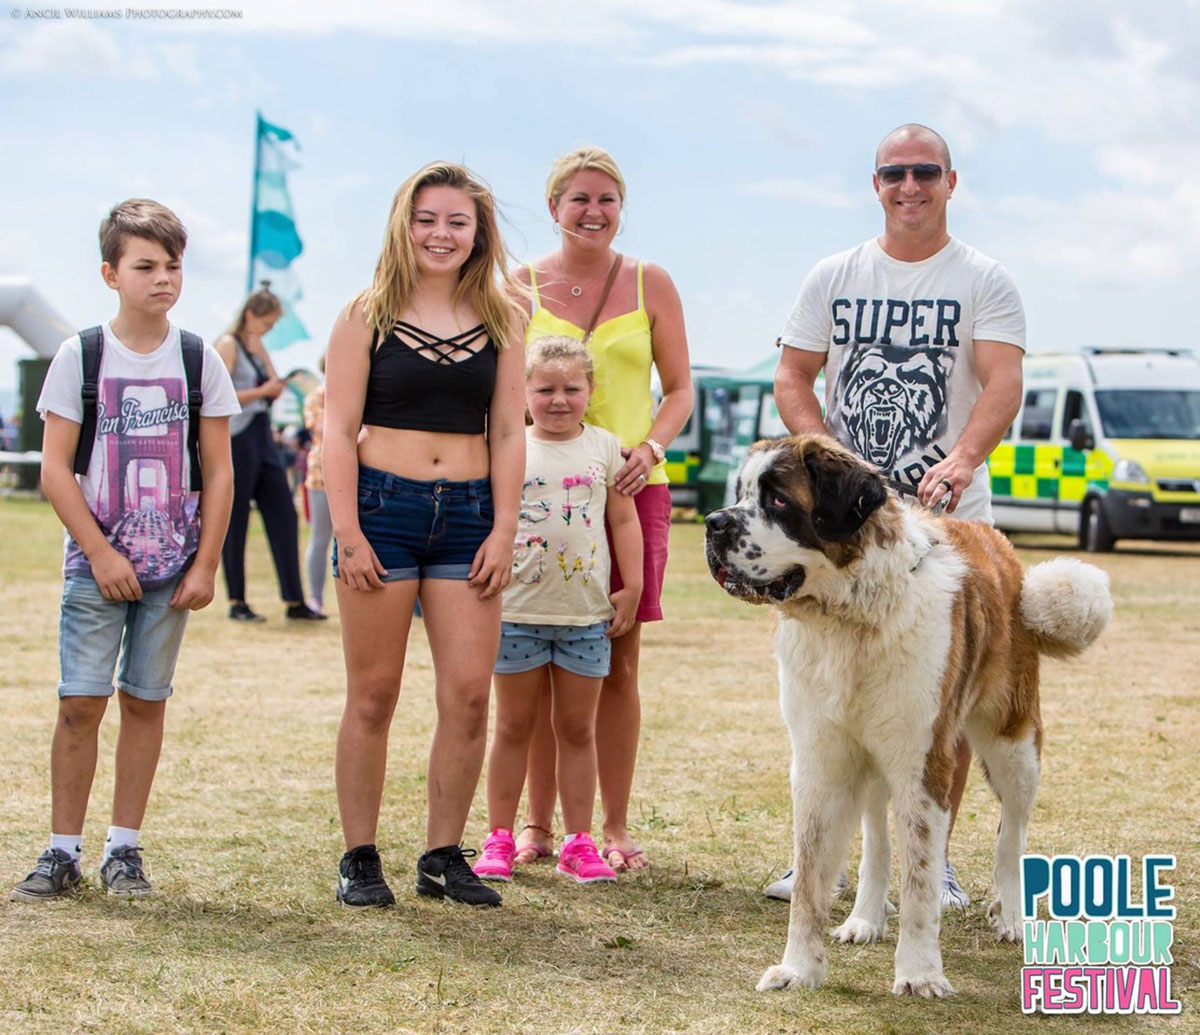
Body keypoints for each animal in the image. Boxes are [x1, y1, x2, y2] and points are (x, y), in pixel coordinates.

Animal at [705, 434, 1108, 998]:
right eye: (740, 493)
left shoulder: (924, 761)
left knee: (1012, 832)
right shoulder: (819, 761)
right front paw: (799, 968)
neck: (850, 619)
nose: (713, 522)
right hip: (875, 757)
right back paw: (866, 918)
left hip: (1013, 744)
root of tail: (1000, 546)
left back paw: (1011, 916)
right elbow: (810, 877)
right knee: (876, 839)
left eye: (779, 500)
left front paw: (919, 972)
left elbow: (920, 875)